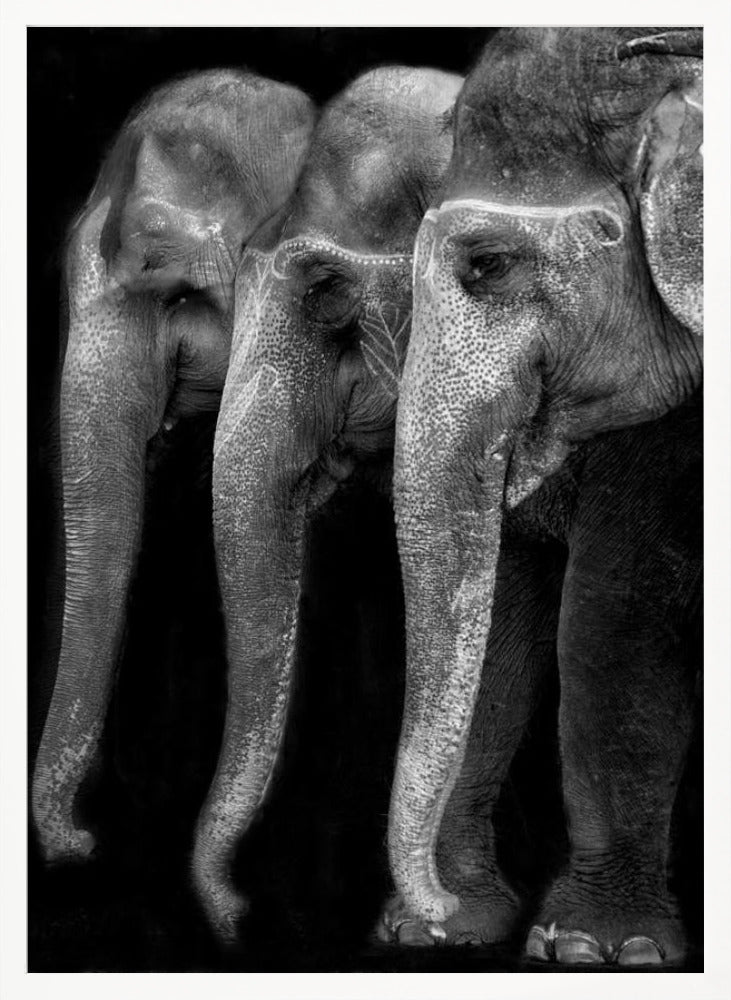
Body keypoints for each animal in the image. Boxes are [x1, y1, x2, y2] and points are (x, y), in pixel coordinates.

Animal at [385, 28, 702, 965]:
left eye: (485, 266)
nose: (431, 910)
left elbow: (615, 614)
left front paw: (599, 950)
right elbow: (514, 604)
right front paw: (452, 933)